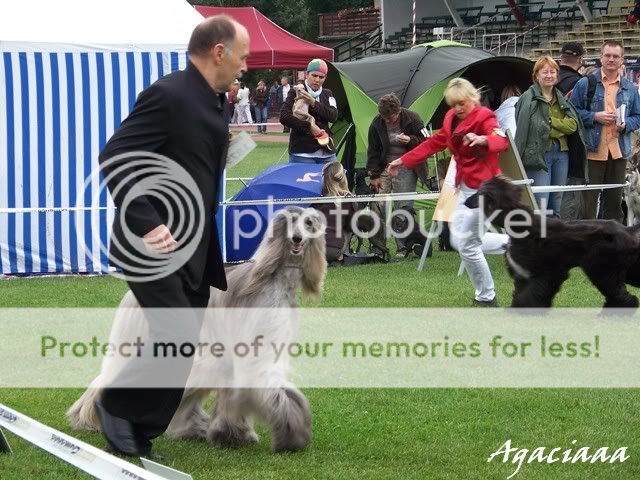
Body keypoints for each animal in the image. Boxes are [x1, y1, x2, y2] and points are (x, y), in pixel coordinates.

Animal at [67, 206, 327, 452]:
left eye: (308, 223)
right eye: (290, 223)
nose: (296, 239)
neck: (275, 281)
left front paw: (231, 434)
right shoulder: (257, 352)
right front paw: (292, 436)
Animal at [465, 176, 640, 308]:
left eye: (478, 193)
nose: (465, 202)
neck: (522, 224)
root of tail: (626, 230)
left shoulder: (548, 272)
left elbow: (529, 297)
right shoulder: (524, 275)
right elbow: (522, 295)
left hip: (603, 270)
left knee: (624, 297)